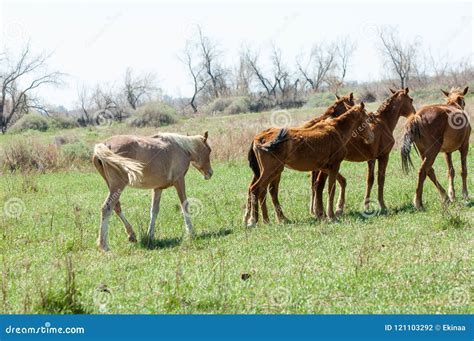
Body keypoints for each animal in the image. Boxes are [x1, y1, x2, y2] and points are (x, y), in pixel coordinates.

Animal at [244, 103, 374, 226]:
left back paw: (269, 220)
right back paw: (254, 220)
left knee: (264, 191)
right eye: (367, 118)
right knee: (256, 189)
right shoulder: (334, 166)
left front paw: (324, 213)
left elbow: (324, 185)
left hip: (272, 172)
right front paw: (331, 216)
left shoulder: (324, 168)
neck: (336, 130)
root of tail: (258, 139)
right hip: (271, 171)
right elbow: (330, 189)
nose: (371, 137)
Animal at [312, 87, 416, 215]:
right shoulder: (384, 157)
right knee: (319, 184)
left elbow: (370, 180)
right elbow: (381, 180)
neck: (383, 122)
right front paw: (382, 205)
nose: (414, 114)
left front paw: (366, 206)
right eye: (411, 100)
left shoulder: (371, 159)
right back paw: (321, 211)